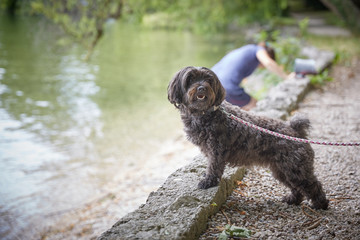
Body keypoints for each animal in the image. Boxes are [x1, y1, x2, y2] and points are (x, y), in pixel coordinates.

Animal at [167, 66, 328, 210]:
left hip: (296, 169)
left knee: (313, 185)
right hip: (282, 170)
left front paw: (208, 181)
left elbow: (214, 167)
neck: (205, 113)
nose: (201, 88)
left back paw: (320, 205)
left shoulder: (216, 150)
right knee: (296, 188)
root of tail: (295, 131)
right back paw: (292, 199)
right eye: (190, 79)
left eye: (209, 80)